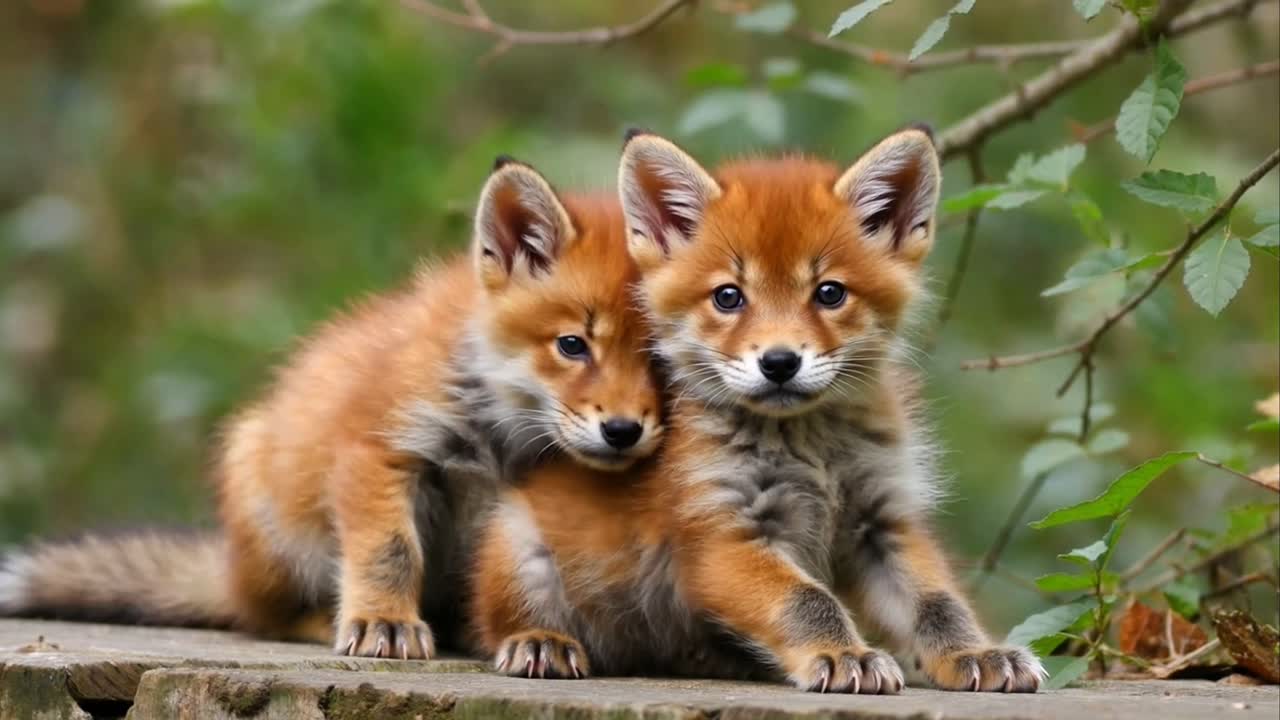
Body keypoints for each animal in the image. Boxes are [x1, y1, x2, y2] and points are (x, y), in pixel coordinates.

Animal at [0, 158, 664, 659]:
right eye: (572, 345)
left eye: (659, 361)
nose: (622, 430)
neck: (501, 434)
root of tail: (232, 572)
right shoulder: (380, 451)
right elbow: (389, 552)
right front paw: (384, 622)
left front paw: (533, 636)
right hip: (274, 522)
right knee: (261, 619)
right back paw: (324, 622)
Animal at [469, 127, 1046, 693]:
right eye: (728, 297)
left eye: (829, 293)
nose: (779, 362)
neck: (813, 454)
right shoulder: (722, 535)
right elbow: (807, 600)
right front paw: (846, 655)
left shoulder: (883, 521)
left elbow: (939, 604)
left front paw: (976, 652)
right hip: (520, 553)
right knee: (497, 624)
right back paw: (539, 641)